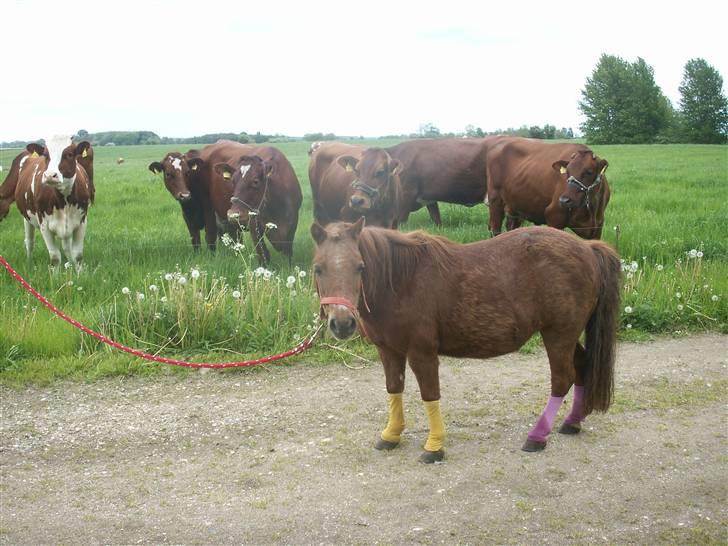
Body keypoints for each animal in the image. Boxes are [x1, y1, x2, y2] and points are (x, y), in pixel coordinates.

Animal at [311, 219, 621, 463]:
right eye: (318, 268)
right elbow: (394, 390)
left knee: (562, 378)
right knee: (581, 367)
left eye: (360, 267)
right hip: (565, 335)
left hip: (558, 334)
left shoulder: (422, 352)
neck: (401, 281)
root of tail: (588, 247)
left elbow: (430, 395)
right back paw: (572, 423)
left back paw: (537, 436)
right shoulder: (389, 351)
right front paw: (391, 435)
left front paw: (434, 447)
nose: (342, 323)